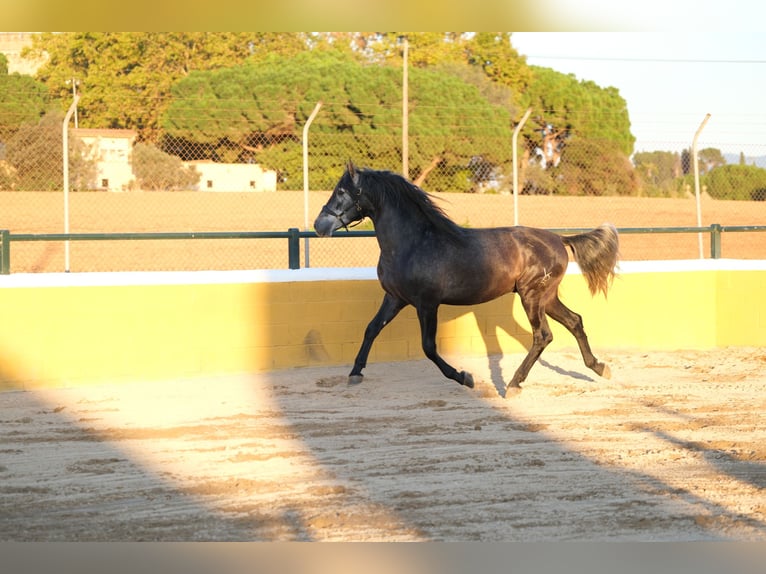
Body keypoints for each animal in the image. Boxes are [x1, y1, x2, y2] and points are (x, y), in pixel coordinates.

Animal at [316, 162, 620, 396]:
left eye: (341, 191)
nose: (319, 225)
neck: (413, 242)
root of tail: (559, 239)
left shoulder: (427, 304)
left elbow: (428, 347)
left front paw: (465, 377)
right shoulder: (395, 298)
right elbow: (371, 329)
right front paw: (355, 373)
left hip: (532, 296)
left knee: (542, 336)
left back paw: (513, 384)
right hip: (546, 297)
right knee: (574, 321)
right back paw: (599, 367)